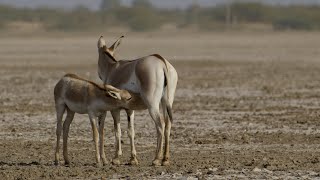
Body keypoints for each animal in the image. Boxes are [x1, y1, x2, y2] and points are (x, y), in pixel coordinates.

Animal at [96, 35, 179, 166]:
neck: (112, 68)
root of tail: (162, 61)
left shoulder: (115, 109)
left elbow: (117, 131)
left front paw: (116, 158)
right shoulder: (130, 109)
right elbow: (131, 131)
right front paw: (133, 159)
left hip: (152, 105)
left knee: (160, 125)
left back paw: (156, 159)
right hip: (166, 102)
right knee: (168, 125)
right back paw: (165, 159)